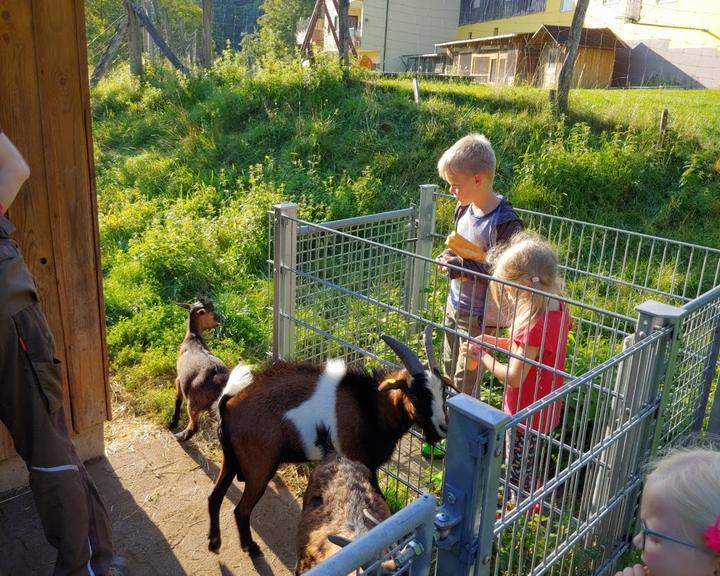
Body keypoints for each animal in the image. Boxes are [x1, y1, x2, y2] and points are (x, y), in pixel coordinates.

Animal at [168, 302, 228, 440]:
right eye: (211, 312)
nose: (219, 321)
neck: (193, 338)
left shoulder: (179, 379)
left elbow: (177, 399)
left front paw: (173, 421)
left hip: (193, 401)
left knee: (194, 426)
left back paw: (180, 436)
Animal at [205, 328, 448, 560]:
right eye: (416, 394)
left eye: (443, 391)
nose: (443, 428)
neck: (369, 406)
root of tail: (228, 404)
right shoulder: (362, 462)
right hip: (259, 467)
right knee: (241, 510)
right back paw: (251, 547)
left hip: (231, 459)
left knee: (214, 497)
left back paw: (214, 542)